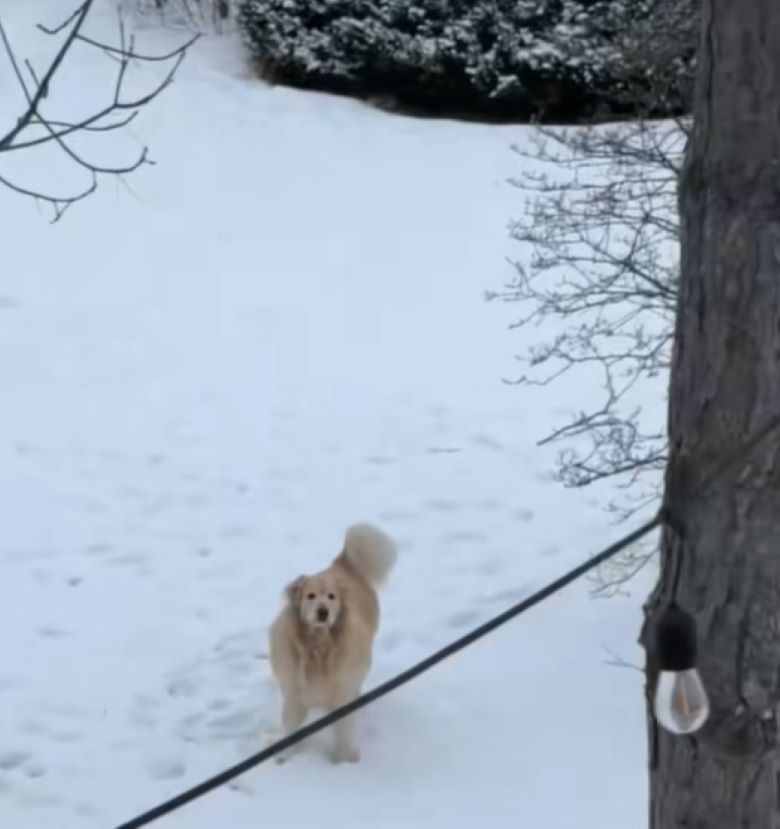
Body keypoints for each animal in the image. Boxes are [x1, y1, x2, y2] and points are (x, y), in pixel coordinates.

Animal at [270, 524, 402, 764]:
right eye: (310, 596)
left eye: (332, 597)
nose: (323, 612)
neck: (318, 647)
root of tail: (342, 562)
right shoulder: (294, 695)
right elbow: (291, 728)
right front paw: (286, 757)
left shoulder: (342, 693)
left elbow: (343, 729)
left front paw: (343, 759)